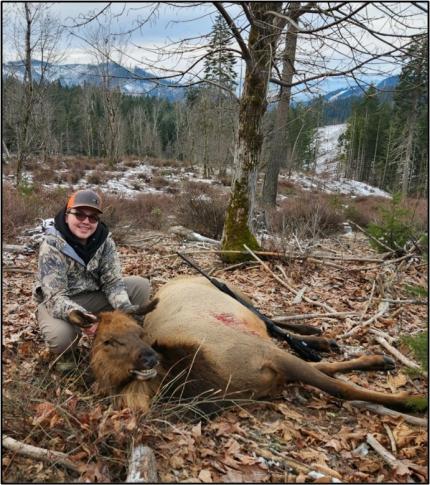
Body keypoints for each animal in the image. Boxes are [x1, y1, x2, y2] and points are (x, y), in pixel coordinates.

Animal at [89, 276, 424, 412]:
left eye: (136, 332)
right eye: (106, 343)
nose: (148, 358)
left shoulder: (267, 353)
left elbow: (342, 388)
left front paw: (415, 400)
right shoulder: (275, 369)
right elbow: (330, 375)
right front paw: (377, 363)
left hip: (236, 293)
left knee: (271, 318)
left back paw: (316, 333)